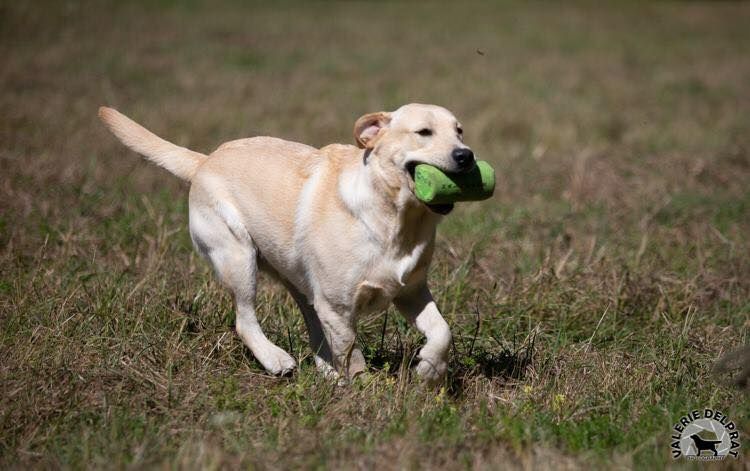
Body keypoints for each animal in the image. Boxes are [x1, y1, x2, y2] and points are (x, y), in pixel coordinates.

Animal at [98, 104, 476, 384]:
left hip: (297, 280)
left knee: (313, 330)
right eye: (423, 132)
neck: (396, 218)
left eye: (459, 130)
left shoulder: (411, 291)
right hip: (238, 256)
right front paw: (362, 391)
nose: (466, 155)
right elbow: (351, 352)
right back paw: (277, 360)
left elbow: (442, 331)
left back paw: (326, 374)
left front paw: (430, 370)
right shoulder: (337, 306)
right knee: (245, 319)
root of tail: (205, 160)